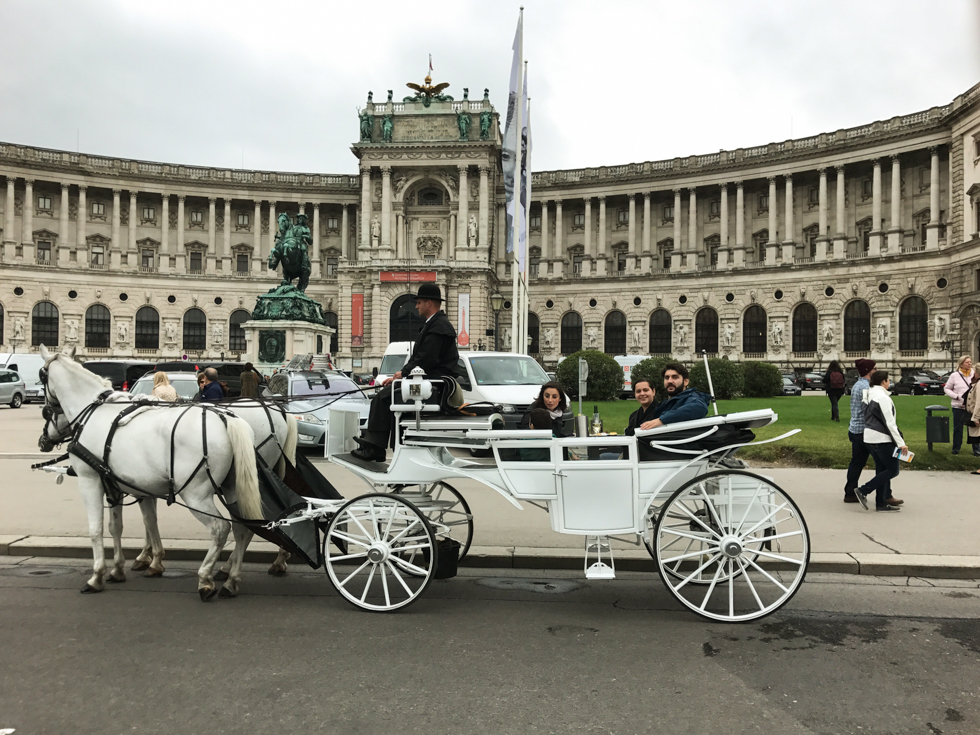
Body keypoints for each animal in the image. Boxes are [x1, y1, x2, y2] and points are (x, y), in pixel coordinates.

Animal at [39, 348, 264, 600]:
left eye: (42, 376)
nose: (43, 440)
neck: (93, 412)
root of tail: (227, 418)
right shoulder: (114, 486)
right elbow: (116, 526)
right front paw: (118, 569)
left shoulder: (90, 482)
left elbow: (96, 529)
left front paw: (97, 576)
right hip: (233, 489)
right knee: (243, 527)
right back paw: (231, 580)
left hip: (196, 495)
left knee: (220, 529)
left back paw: (205, 578)